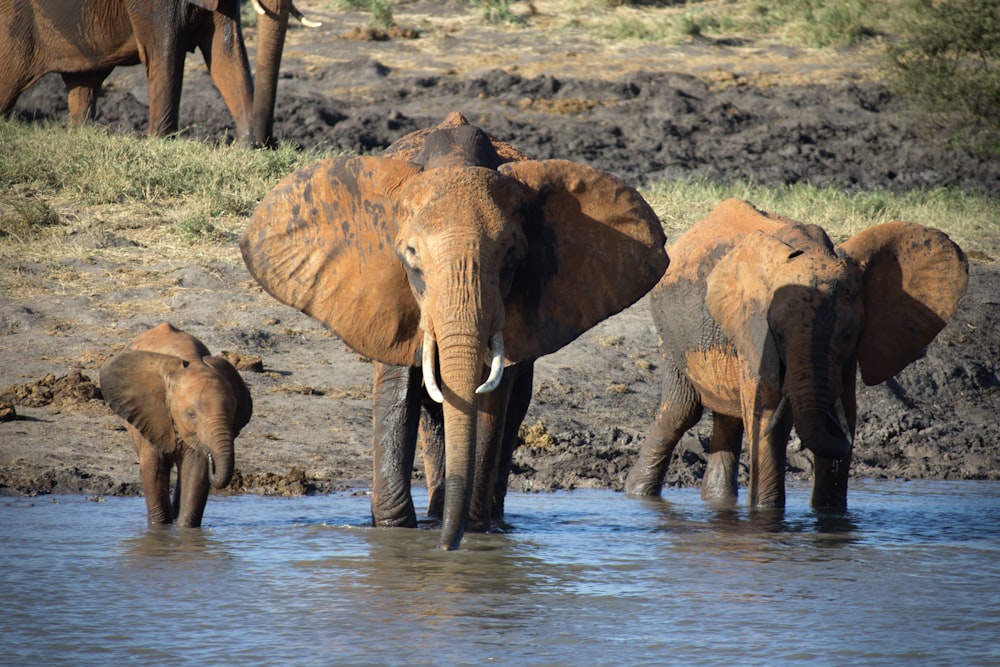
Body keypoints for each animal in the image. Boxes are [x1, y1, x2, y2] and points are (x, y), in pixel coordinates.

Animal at [0, 0, 310, 146]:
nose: (267, 142)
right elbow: (166, 54)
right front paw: (161, 143)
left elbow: (226, 54)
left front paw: (248, 148)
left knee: (83, 87)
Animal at [99, 322, 252, 528]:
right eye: (190, 414)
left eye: (233, 412)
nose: (212, 459)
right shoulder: (151, 414)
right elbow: (153, 469)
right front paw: (160, 527)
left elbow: (196, 471)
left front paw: (185, 528)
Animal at [238, 112, 668, 552]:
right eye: (410, 254)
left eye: (511, 255)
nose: (446, 548)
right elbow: (398, 393)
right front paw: (396, 533)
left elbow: (492, 399)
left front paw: (475, 533)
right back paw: (436, 515)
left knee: (511, 409)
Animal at [624, 198, 968, 512]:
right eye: (777, 332)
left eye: (848, 334)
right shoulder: (753, 330)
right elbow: (766, 418)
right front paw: (766, 513)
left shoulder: (847, 356)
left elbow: (847, 411)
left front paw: (830, 514)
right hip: (670, 333)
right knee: (681, 411)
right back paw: (638, 494)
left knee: (728, 418)